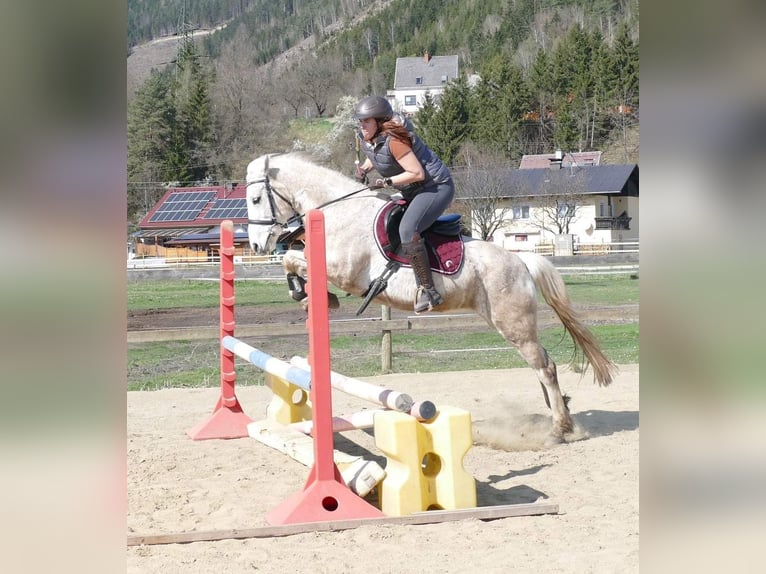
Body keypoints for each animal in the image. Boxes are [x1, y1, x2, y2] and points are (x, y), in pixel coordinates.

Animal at [246, 152, 616, 446]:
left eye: (255, 200)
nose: (256, 245)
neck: (340, 213)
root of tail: (521, 262)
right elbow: (291, 257)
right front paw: (303, 292)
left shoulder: (344, 272)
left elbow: (292, 257)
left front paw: (316, 295)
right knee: (541, 366)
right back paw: (562, 414)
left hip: (514, 324)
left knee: (545, 367)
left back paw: (558, 429)